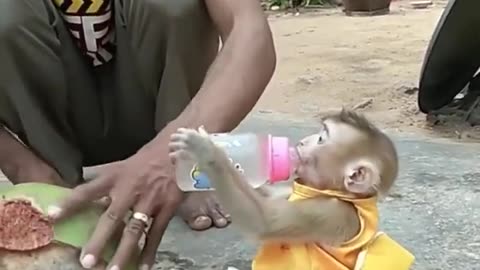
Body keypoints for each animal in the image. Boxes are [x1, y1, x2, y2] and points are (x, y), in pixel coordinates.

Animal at [168, 108, 412, 268]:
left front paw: (206, 148)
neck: (339, 193)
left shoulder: (331, 212)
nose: (301, 142)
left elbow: (267, 222)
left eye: (321, 138)